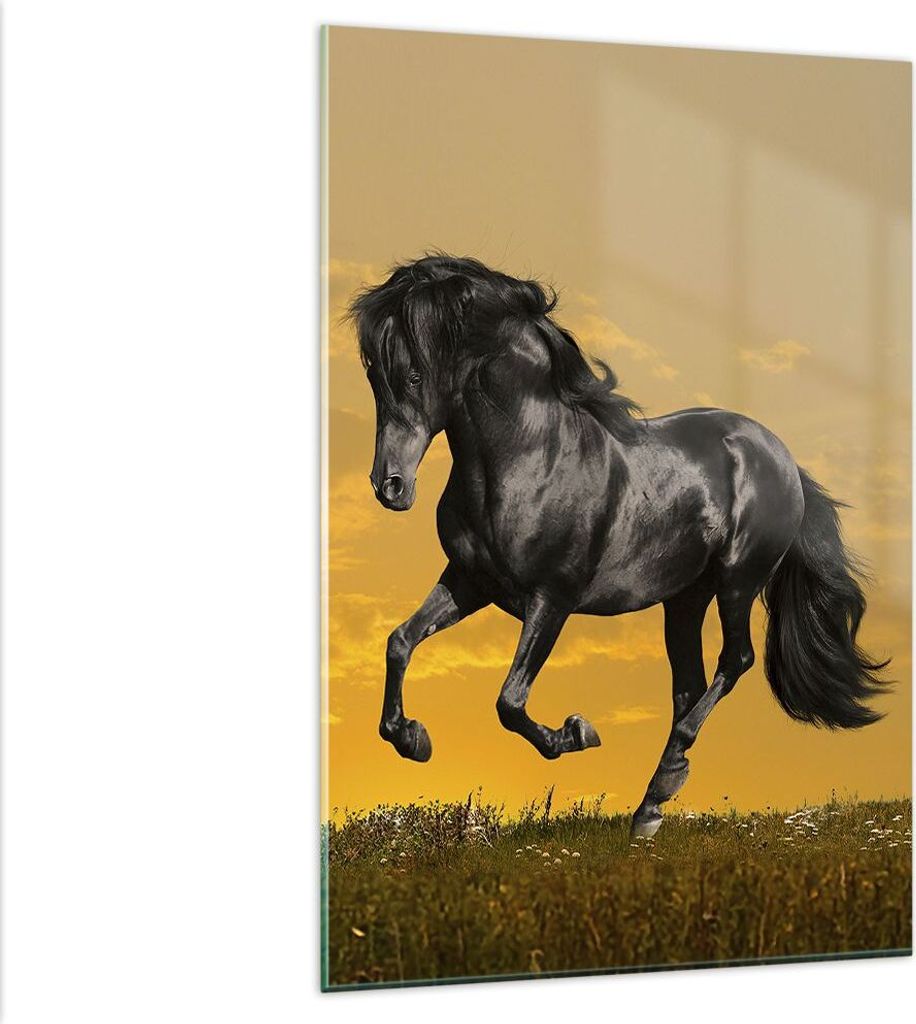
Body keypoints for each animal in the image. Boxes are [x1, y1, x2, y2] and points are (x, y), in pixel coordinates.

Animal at [348, 253, 890, 837]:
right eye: (373, 374)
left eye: (415, 373)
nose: (390, 487)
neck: (529, 458)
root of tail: (780, 456)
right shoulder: (470, 582)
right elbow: (400, 641)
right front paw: (412, 739)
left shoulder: (552, 600)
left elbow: (509, 702)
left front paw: (576, 732)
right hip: (684, 599)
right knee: (688, 686)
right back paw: (651, 806)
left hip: (737, 582)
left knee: (735, 660)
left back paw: (664, 781)